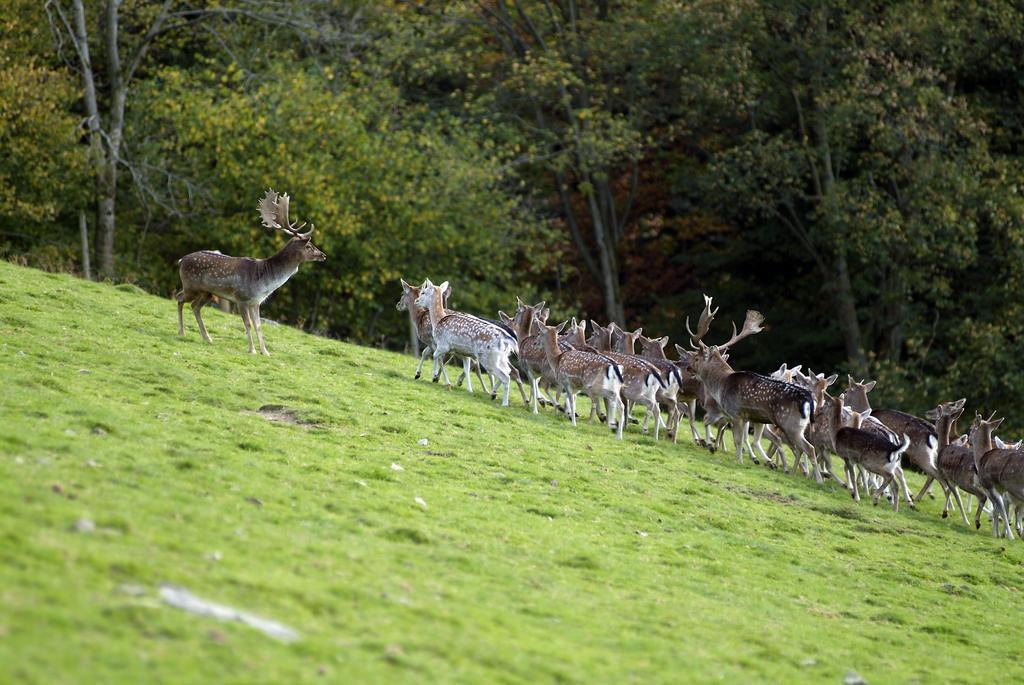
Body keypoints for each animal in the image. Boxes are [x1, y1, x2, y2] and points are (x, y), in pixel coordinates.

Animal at [172, 189, 323, 356]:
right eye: (309, 246)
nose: (323, 255)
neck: (265, 282)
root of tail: (181, 260)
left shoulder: (256, 302)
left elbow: (258, 325)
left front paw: (265, 352)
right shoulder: (241, 298)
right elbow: (248, 323)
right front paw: (252, 350)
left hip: (206, 292)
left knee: (195, 306)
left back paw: (207, 338)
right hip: (190, 286)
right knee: (180, 298)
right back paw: (182, 332)